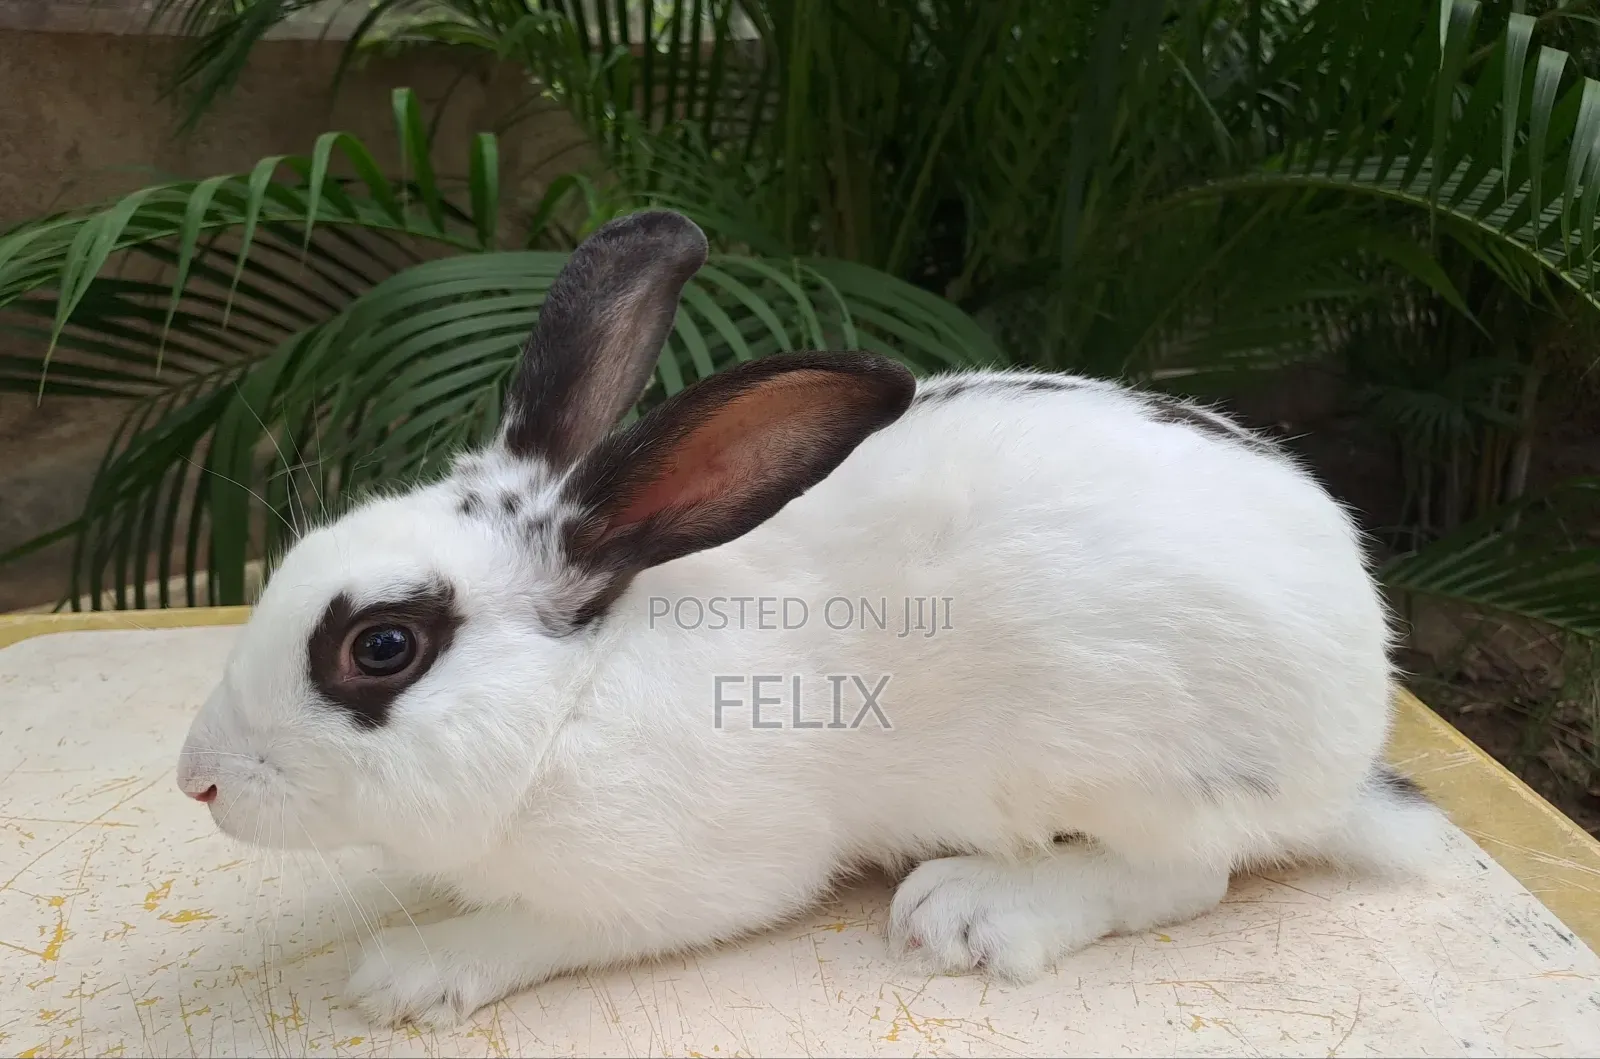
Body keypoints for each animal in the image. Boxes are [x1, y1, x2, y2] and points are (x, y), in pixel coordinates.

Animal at [176, 208, 1447, 1031]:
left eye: (381, 647)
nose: (196, 780)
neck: (571, 701)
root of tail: (1349, 750)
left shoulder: (689, 879)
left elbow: (541, 930)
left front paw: (408, 970)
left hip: (1132, 769)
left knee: (1188, 878)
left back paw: (972, 910)